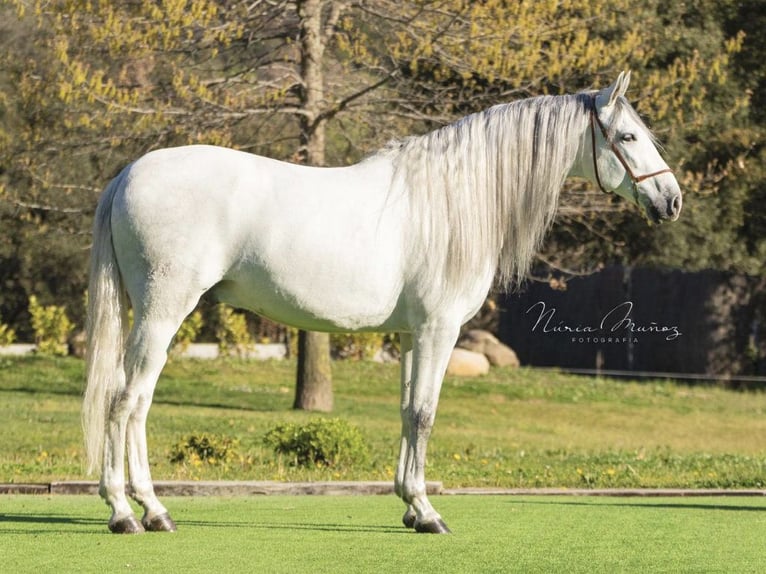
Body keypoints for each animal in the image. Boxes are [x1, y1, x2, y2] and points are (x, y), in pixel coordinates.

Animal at [84, 73, 684, 536]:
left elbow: (406, 410)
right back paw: (126, 513)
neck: (449, 200)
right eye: (627, 135)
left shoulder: (410, 334)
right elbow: (424, 413)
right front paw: (428, 512)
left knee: (136, 401)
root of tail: (127, 174)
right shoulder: (440, 329)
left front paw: (409, 507)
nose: (672, 200)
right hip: (164, 312)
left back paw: (153, 511)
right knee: (126, 400)